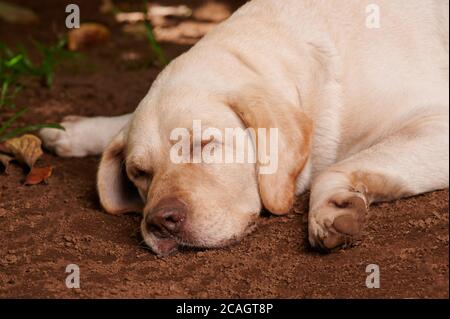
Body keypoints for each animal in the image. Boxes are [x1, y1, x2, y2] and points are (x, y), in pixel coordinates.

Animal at [40, 0, 448, 255]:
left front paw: (330, 207)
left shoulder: (438, 121)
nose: (160, 222)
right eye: (138, 172)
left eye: (205, 144)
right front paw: (73, 131)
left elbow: (332, 168)